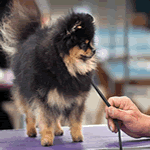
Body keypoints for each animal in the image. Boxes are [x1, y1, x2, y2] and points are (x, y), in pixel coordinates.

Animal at [0, 1, 96, 146]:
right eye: (84, 44)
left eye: (91, 43)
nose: (94, 50)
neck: (65, 66)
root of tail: (29, 36)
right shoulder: (45, 97)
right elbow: (46, 121)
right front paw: (46, 140)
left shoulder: (75, 99)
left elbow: (75, 120)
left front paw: (77, 137)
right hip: (26, 92)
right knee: (29, 115)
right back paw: (31, 131)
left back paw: (58, 130)